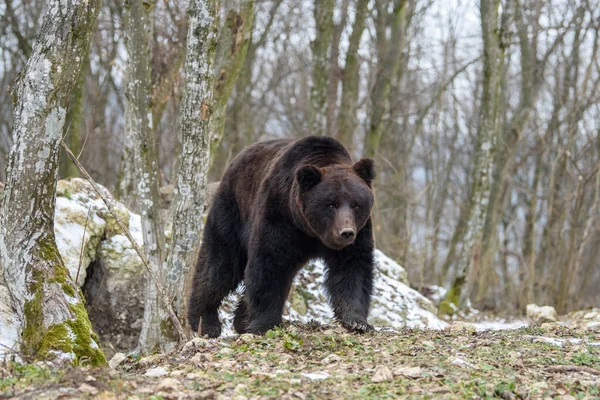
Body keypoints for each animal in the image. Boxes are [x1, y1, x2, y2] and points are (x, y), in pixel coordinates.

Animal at [188, 135, 376, 338]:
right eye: (331, 204)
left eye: (356, 204)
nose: (346, 232)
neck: (311, 232)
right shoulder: (280, 216)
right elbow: (270, 264)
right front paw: (264, 324)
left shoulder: (359, 233)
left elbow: (352, 268)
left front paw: (357, 322)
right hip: (233, 210)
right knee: (220, 265)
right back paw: (205, 322)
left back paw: (241, 321)